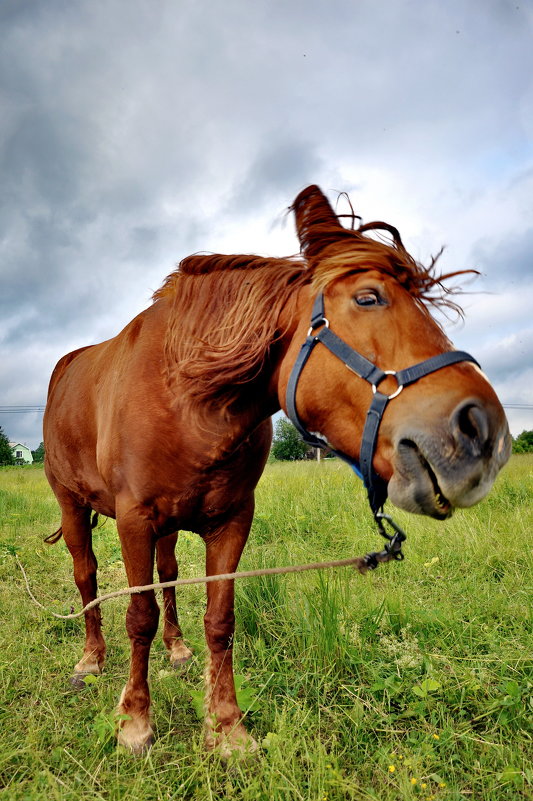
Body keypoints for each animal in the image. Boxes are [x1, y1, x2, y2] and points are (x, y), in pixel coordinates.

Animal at [43, 186, 510, 756]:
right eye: (368, 298)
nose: (483, 432)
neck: (186, 397)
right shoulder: (134, 520)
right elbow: (138, 616)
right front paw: (135, 720)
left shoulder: (231, 523)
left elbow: (218, 619)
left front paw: (226, 728)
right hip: (73, 505)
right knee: (86, 577)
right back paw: (90, 659)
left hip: (167, 528)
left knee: (169, 577)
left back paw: (176, 650)